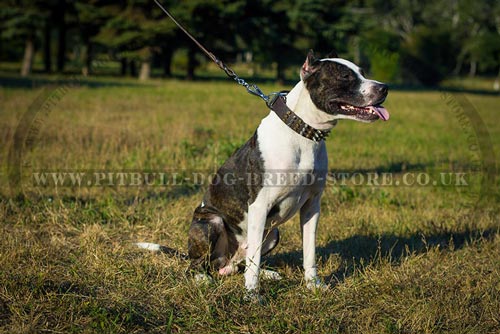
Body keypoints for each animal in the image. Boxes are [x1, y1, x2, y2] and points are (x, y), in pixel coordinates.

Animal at [138, 50, 390, 298]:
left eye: (362, 72)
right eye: (345, 76)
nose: (384, 88)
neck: (303, 133)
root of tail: (225, 262)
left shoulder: (312, 207)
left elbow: (309, 251)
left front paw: (313, 285)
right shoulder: (259, 205)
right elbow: (255, 261)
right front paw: (252, 295)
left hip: (273, 233)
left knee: (242, 263)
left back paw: (267, 273)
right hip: (212, 222)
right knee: (201, 264)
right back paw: (203, 277)